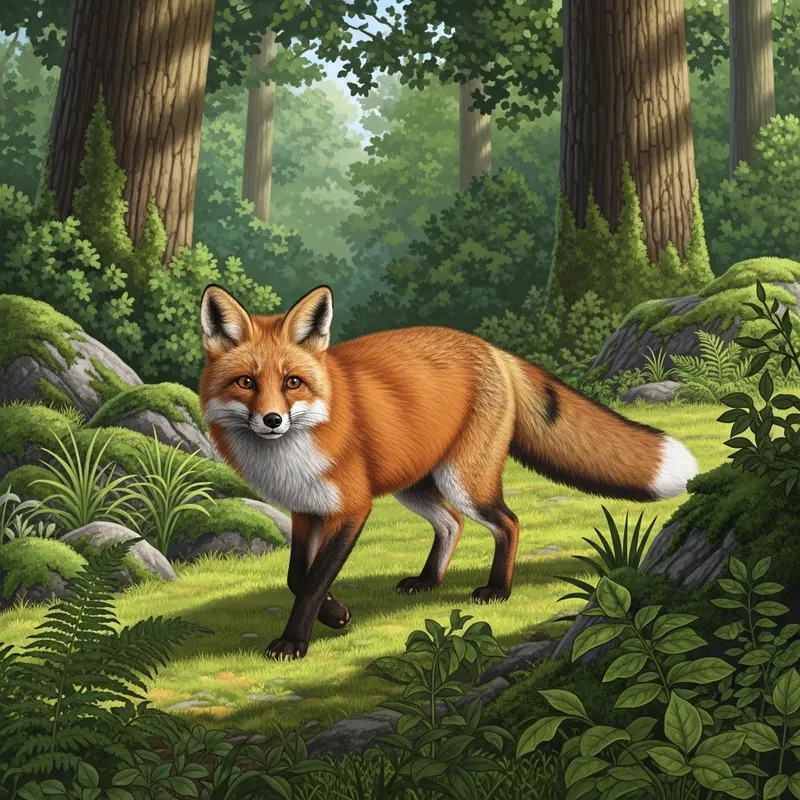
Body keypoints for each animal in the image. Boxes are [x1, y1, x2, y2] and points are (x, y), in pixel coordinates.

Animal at [198, 284, 699, 661]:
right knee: (452, 523)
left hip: (464, 482)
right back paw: (428, 581)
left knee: (508, 522)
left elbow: (313, 582)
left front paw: (294, 642)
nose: (272, 420)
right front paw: (336, 613)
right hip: (418, 486)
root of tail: (493, 349)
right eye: (246, 382)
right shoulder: (306, 509)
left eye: (292, 383)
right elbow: (297, 578)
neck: (292, 452)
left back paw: (498, 588)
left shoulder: (352, 507)